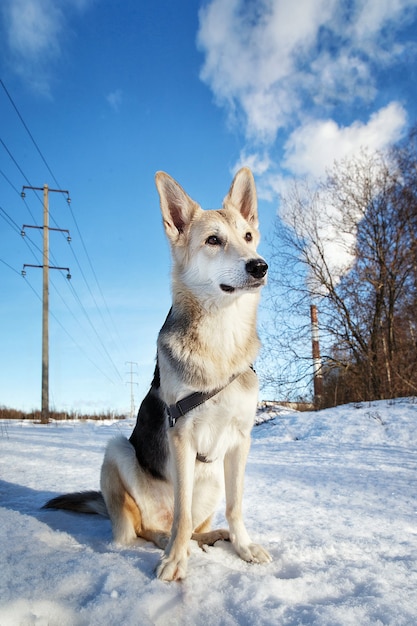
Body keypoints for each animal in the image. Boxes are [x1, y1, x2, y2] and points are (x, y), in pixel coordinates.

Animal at [42, 167, 270, 580]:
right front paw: (175, 561)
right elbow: (181, 513)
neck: (221, 341)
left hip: (213, 476)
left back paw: (214, 537)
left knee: (195, 524)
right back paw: (170, 543)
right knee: (149, 528)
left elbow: (236, 506)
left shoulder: (240, 441)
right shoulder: (181, 437)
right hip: (118, 452)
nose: (259, 266)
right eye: (214, 240)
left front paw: (243, 546)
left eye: (247, 236)